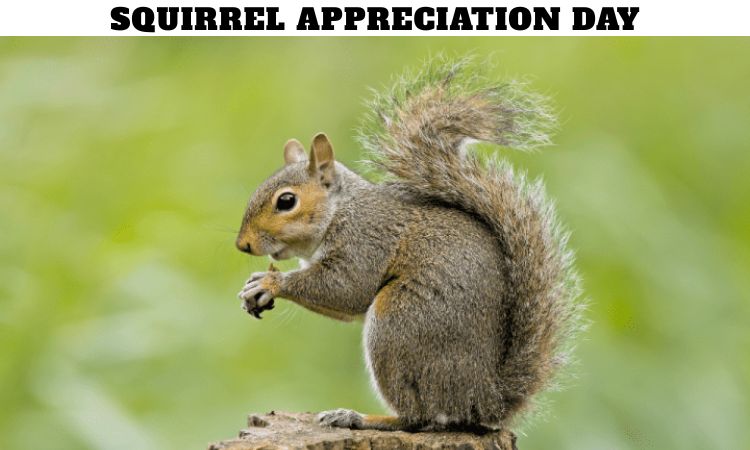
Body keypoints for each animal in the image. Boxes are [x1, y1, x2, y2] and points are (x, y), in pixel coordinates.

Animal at [236, 57, 583, 432]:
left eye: (286, 201)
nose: (243, 244)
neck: (341, 211)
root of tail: (482, 400)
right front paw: (255, 287)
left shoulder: (367, 240)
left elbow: (347, 289)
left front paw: (270, 282)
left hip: (398, 325)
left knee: (418, 417)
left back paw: (359, 417)